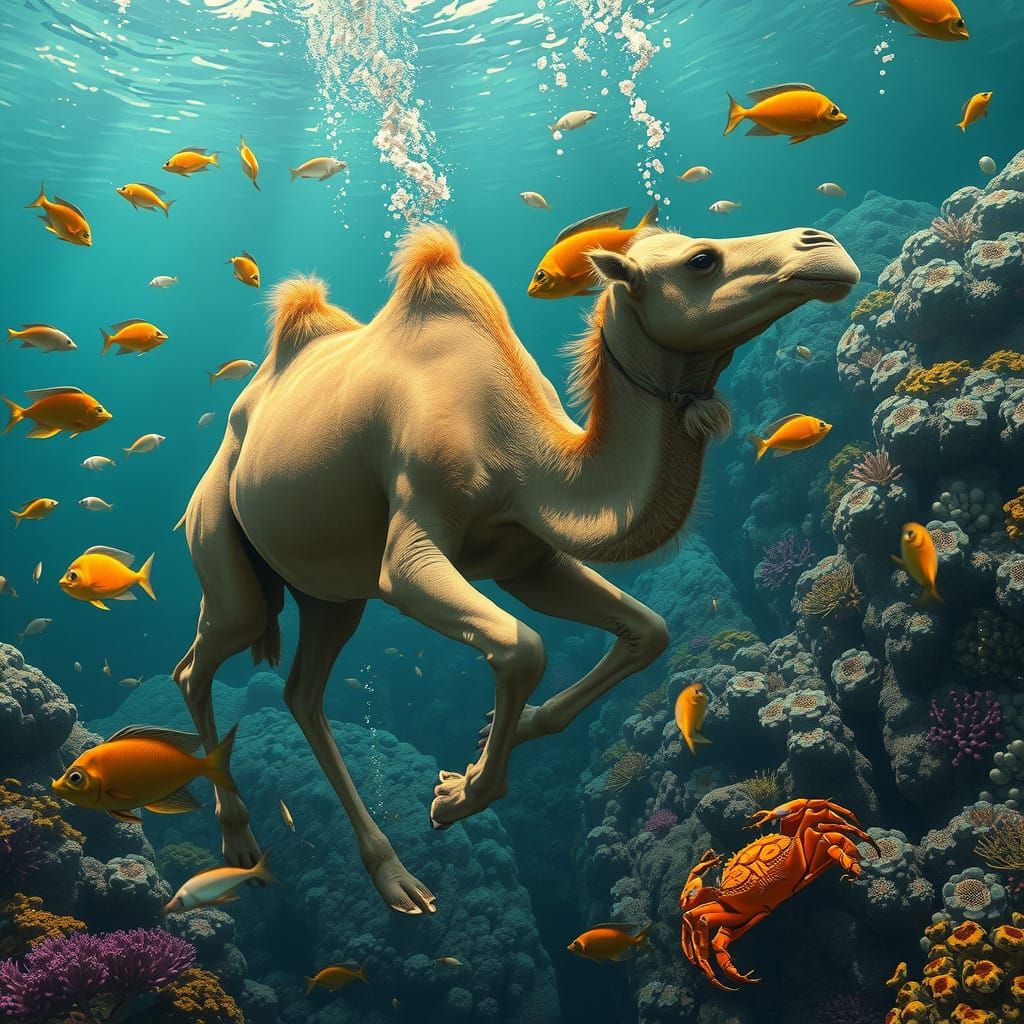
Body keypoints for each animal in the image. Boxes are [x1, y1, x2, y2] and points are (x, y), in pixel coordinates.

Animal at [173, 219, 858, 914]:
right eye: (701, 260)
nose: (822, 245)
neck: (522, 454)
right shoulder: (411, 553)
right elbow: (522, 647)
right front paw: (457, 798)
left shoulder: (529, 560)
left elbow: (649, 631)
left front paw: (485, 747)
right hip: (223, 536)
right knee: (200, 661)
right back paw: (242, 843)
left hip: (333, 593)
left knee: (302, 692)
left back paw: (393, 877)